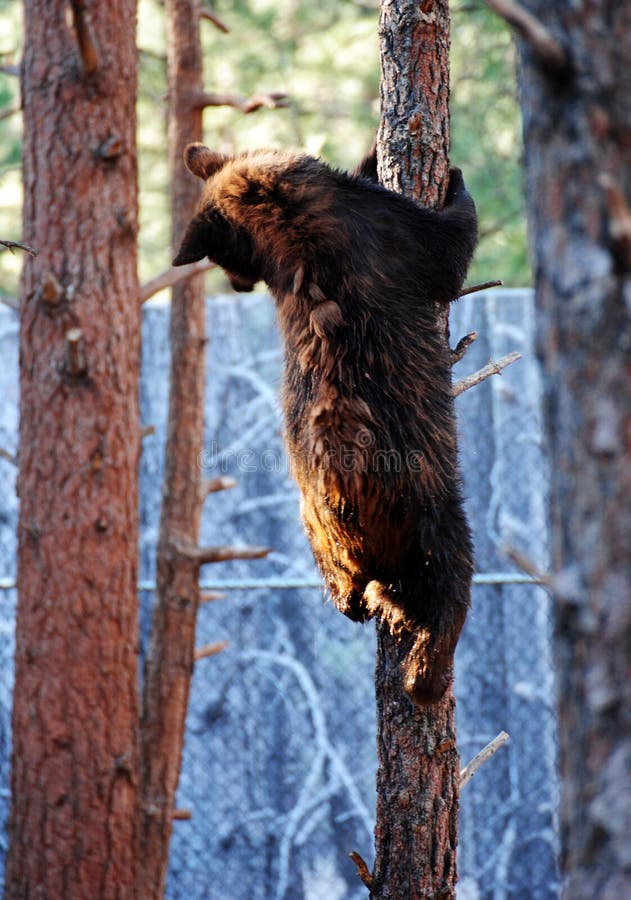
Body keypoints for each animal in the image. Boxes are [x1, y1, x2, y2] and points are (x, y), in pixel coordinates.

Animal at [173, 142, 478, 705]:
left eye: (228, 257)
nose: (237, 286)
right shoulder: (385, 232)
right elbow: (448, 251)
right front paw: (451, 179)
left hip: (316, 527)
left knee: (348, 591)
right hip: (426, 502)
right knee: (450, 574)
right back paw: (426, 673)